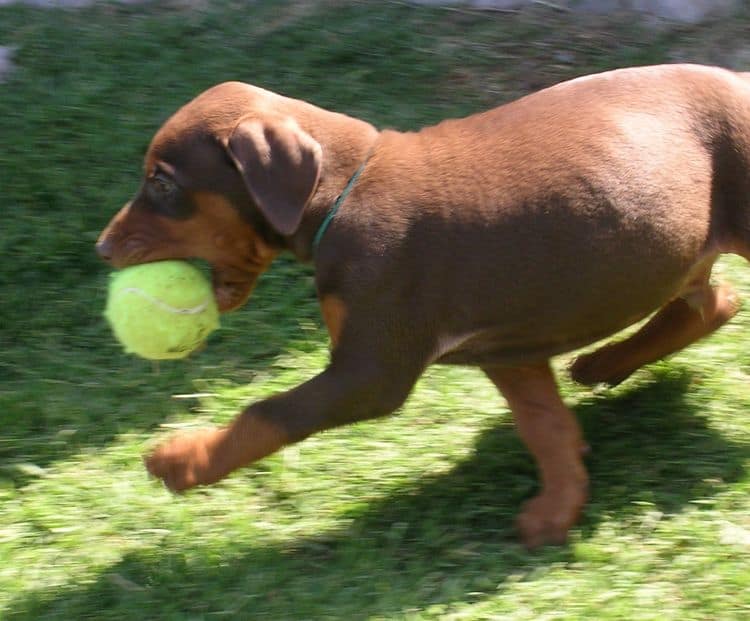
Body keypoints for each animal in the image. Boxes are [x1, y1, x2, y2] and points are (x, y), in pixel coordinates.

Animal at [97, 64, 750, 548]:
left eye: (162, 183)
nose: (101, 248)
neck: (343, 193)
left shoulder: (370, 372)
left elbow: (268, 412)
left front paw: (184, 460)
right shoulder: (510, 348)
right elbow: (545, 425)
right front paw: (559, 507)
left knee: (713, 299)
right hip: (666, 250)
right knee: (715, 300)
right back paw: (606, 361)